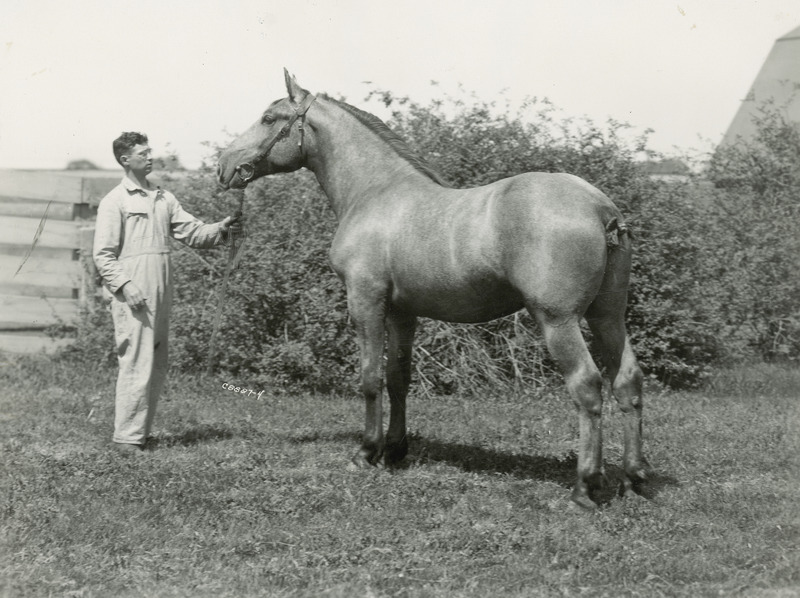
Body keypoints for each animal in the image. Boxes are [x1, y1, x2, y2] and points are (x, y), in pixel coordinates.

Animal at [217, 71, 648, 510]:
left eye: (270, 118)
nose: (224, 165)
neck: (375, 192)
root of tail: (601, 208)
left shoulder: (365, 301)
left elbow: (370, 377)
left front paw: (366, 453)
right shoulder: (403, 312)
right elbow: (398, 378)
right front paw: (394, 451)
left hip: (558, 321)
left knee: (587, 386)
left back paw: (584, 487)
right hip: (607, 316)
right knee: (627, 381)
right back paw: (634, 479)